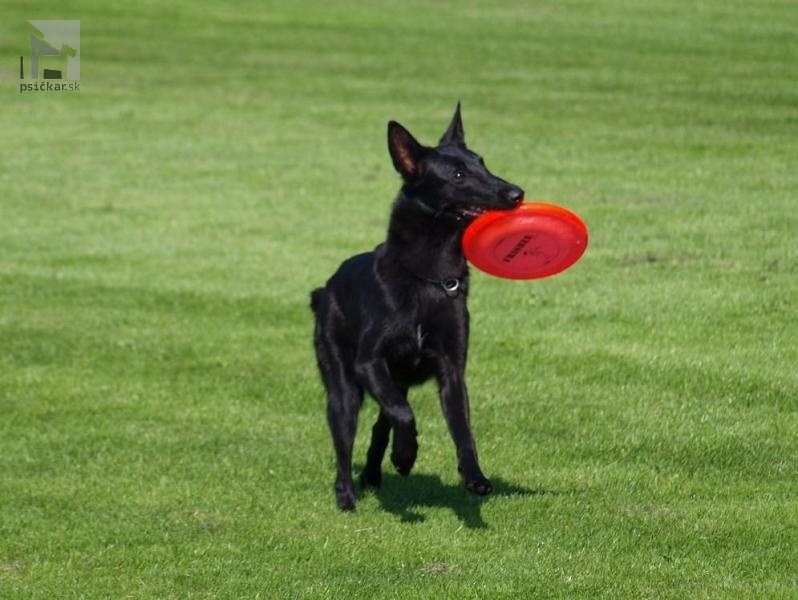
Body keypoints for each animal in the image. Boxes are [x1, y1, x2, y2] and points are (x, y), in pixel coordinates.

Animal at [310, 104, 524, 510]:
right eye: (458, 175)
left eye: (483, 163)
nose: (517, 193)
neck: (430, 279)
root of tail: (324, 288)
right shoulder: (370, 362)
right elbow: (403, 415)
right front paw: (405, 456)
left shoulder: (452, 371)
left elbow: (462, 429)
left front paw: (474, 476)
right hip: (344, 386)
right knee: (347, 436)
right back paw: (347, 495)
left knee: (381, 423)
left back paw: (373, 473)